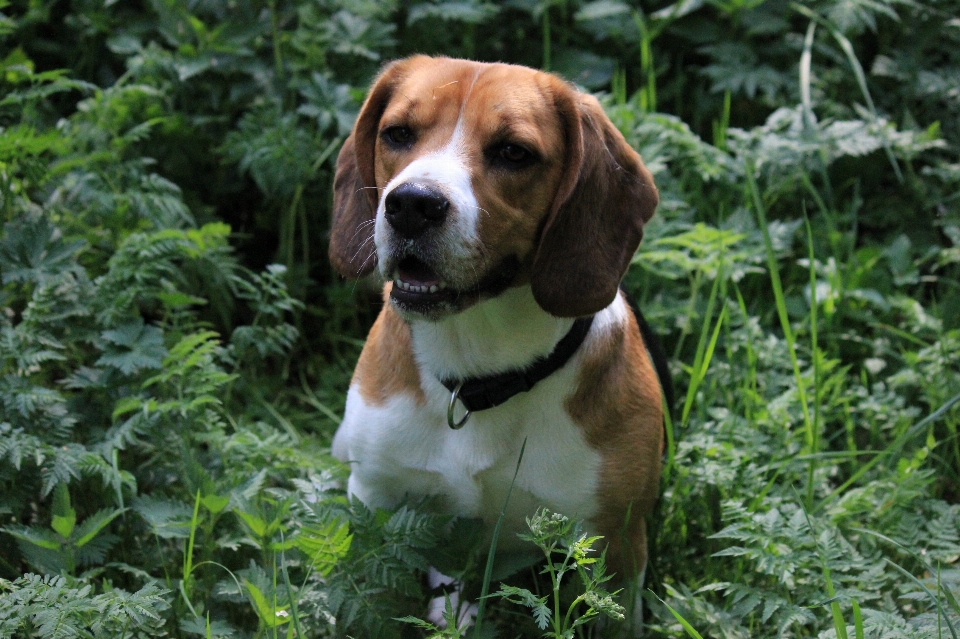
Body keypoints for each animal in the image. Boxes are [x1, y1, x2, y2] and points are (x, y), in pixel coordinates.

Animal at [330, 55, 668, 624]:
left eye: (513, 152)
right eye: (397, 133)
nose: (412, 205)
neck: (479, 376)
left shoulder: (615, 547)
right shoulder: (373, 498)